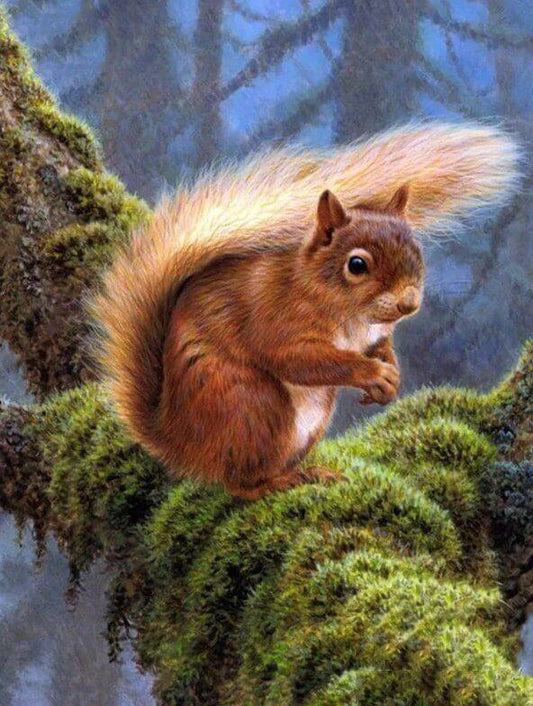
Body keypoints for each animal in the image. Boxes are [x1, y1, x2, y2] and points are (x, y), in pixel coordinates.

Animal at [91, 123, 519, 499]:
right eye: (357, 264)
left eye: (416, 250)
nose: (409, 303)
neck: (350, 315)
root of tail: (177, 439)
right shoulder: (276, 319)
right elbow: (300, 359)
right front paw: (372, 373)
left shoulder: (372, 334)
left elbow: (381, 347)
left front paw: (391, 376)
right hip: (250, 403)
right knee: (238, 483)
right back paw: (277, 483)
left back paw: (310, 472)